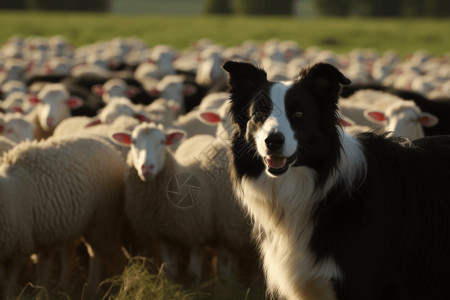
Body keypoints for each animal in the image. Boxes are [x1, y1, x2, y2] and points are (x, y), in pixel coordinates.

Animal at [0, 135, 127, 298]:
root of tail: (108, 146)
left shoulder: (20, 247)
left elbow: (11, 281)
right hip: (81, 224)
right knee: (81, 254)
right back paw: (71, 288)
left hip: (104, 219)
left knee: (113, 258)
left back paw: (116, 289)